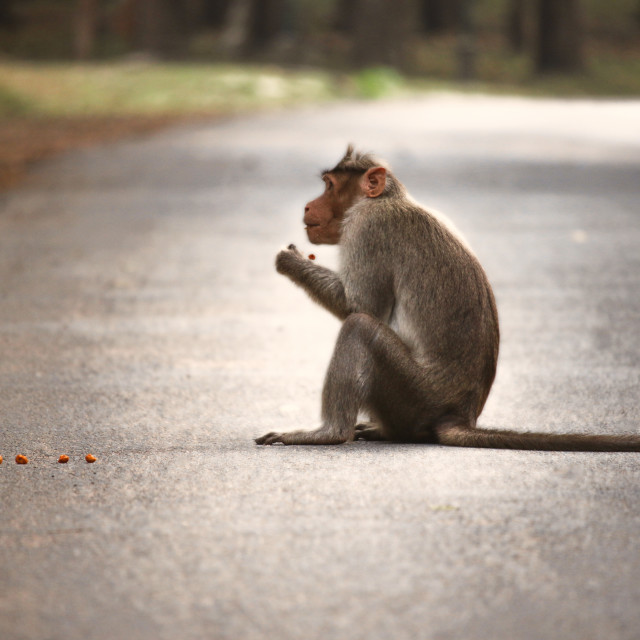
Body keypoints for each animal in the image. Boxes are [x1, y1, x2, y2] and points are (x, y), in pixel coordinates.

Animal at [255, 147, 640, 452]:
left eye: (329, 187)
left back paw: (328, 433)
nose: (308, 205)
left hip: (415, 395)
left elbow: (361, 307)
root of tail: (458, 414)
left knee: (361, 328)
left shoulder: (367, 227)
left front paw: (289, 261)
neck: (387, 199)